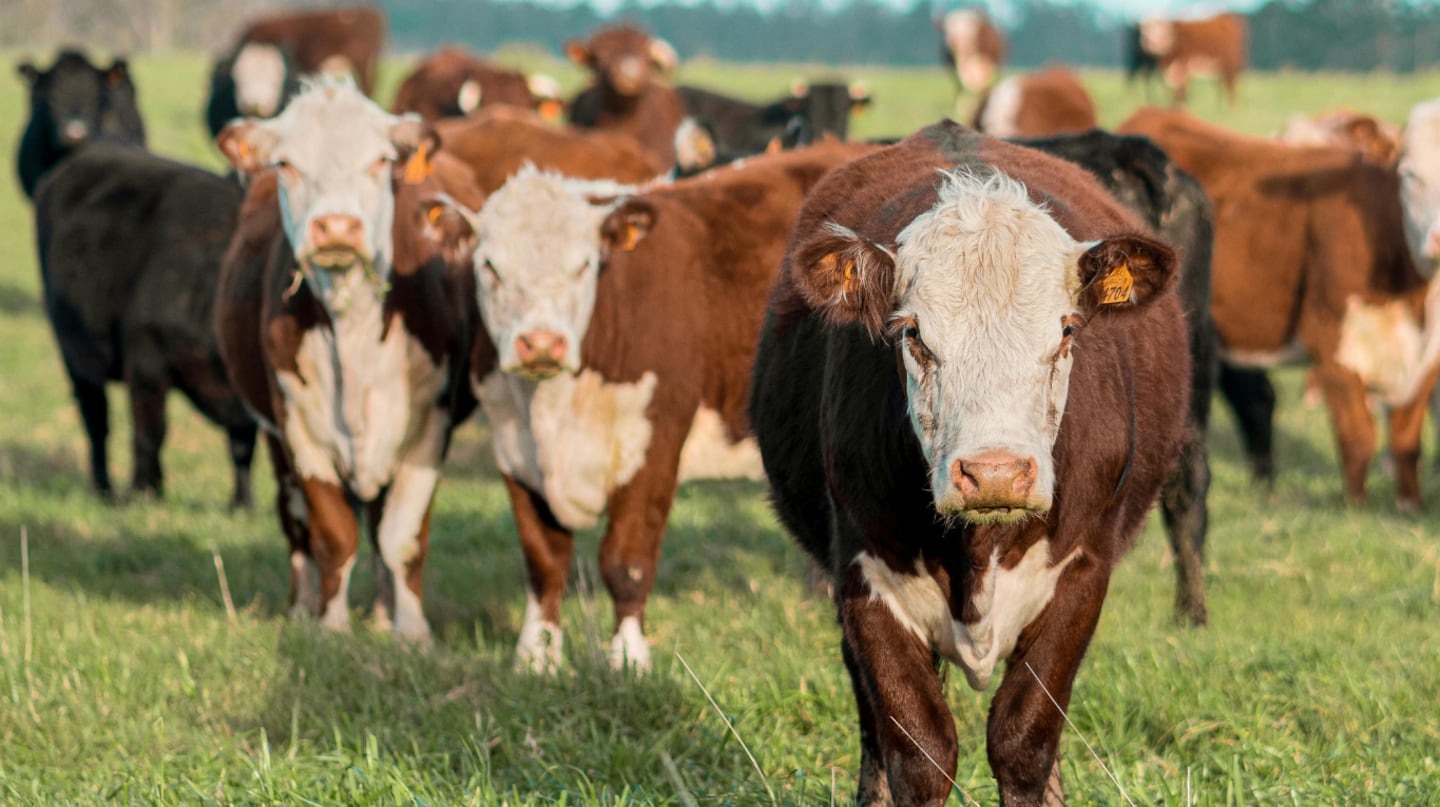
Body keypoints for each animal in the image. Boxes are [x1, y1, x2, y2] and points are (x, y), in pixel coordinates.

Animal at [32, 144, 256, 506]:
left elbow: (242, 445)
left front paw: (242, 504)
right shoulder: (146, 363)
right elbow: (150, 433)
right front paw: (143, 492)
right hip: (74, 356)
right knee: (96, 423)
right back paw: (104, 489)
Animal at [214, 78, 483, 643]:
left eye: (380, 161)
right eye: (287, 164)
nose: (337, 226)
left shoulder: (430, 426)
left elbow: (402, 536)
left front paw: (412, 634)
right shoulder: (299, 428)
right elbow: (332, 534)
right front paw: (331, 628)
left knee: (380, 523)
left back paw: (382, 614)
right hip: (274, 437)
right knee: (296, 523)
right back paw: (303, 607)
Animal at [418, 140, 875, 673]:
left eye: (584, 265)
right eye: (490, 266)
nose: (541, 343)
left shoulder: (655, 441)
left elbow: (627, 559)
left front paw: (628, 659)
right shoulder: (512, 446)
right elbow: (543, 560)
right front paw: (538, 656)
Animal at [749, 119, 1191, 806]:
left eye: (1067, 331)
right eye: (913, 333)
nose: (996, 473)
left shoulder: (1082, 574)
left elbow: (1025, 738)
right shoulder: (862, 579)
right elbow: (917, 748)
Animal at [1119, 107, 1439, 508]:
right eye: (1410, 175)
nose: (1438, 239)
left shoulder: (1426, 357)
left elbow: (1405, 439)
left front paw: (1410, 505)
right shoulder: (1330, 339)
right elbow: (1359, 437)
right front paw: (1357, 508)